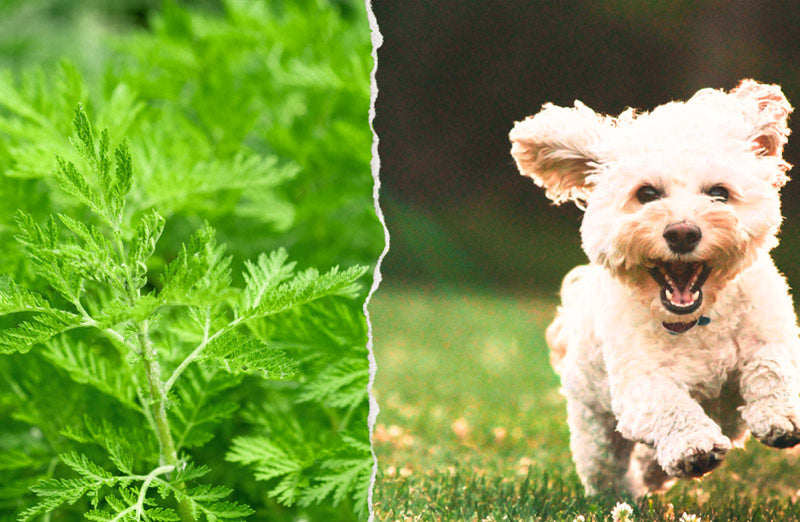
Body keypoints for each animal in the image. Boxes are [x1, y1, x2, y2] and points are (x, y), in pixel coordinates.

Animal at [510, 80, 800, 496]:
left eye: (719, 193)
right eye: (646, 194)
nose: (682, 232)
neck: (698, 320)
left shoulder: (772, 334)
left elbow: (774, 366)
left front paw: (780, 416)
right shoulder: (639, 384)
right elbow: (669, 405)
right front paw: (694, 446)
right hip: (593, 423)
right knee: (606, 466)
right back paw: (627, 491)